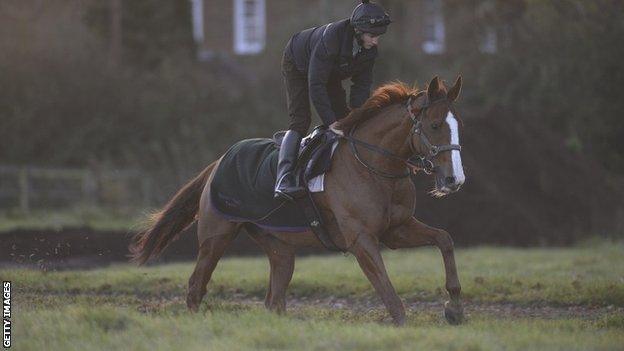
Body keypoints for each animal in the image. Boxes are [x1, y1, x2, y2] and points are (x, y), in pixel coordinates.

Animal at [130, 75, 464, 326]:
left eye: (457, 125)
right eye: (435, 125)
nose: (454, 179)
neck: (373, 165)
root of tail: (217, 163)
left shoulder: (396, 230)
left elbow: (445, 239)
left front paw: (455, 308)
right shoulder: (361, 239)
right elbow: (387, 290)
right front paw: (404, 322)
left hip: (280, 249)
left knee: (274, 301)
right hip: (216, 237)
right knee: (195, 286)